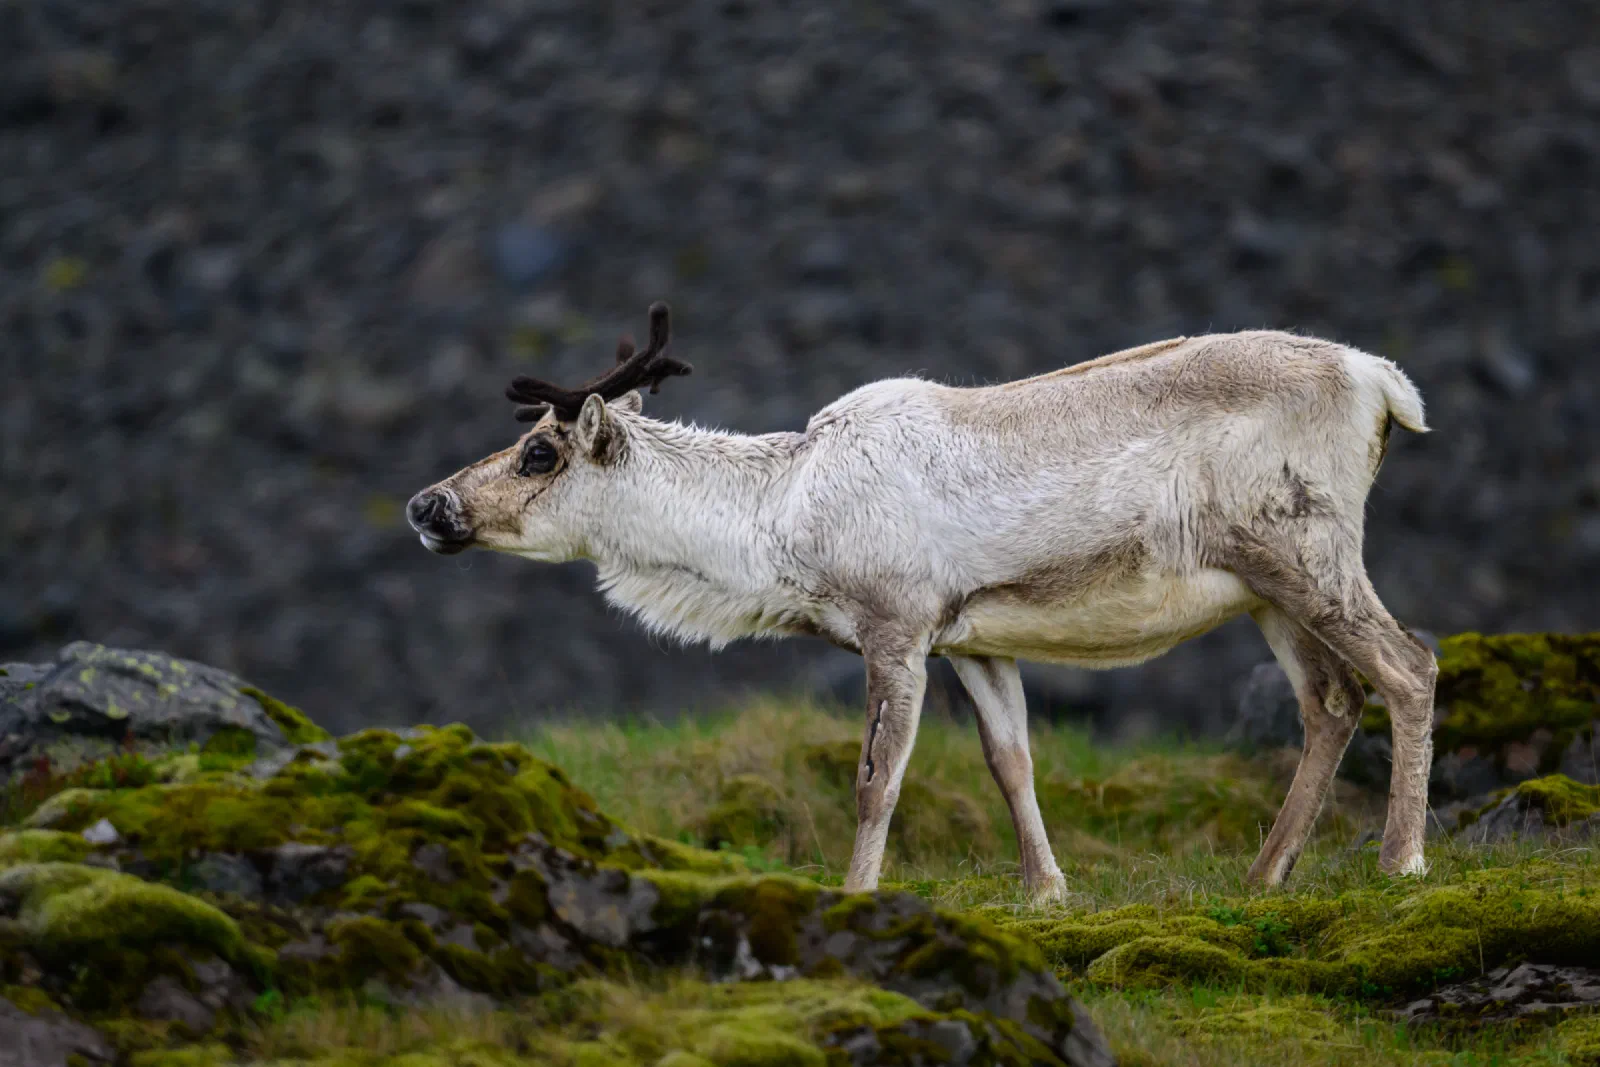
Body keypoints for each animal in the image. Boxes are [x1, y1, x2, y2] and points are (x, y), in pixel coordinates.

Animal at [408, 302, 1437, 901]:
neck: (784, 519)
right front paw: (1046, 891)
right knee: (1332, 701)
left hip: (1309, 553)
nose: (426, 505)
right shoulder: (973, 638)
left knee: (1409, 666)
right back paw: (1264, 873)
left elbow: (877, 779)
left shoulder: (895, 627)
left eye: (538, 452)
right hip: (1264, 588)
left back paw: (1401, 859)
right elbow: (1011, 762)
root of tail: (1383, 383)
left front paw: (858, 895)